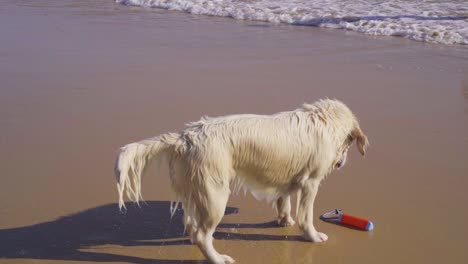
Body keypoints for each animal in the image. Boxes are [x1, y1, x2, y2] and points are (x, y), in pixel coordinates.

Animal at [115, 98, 368, 262]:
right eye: (348, 145)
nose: (341, 163)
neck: (323, 119)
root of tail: (185, 137)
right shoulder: (310, 182)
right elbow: (306, 216)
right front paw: (313, 236)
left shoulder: (286, 177)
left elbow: (284, 200)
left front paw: (285, 221)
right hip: (215, 195)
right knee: (203, 236)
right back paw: (218, 258)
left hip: (195, 190)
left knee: (190, 225)